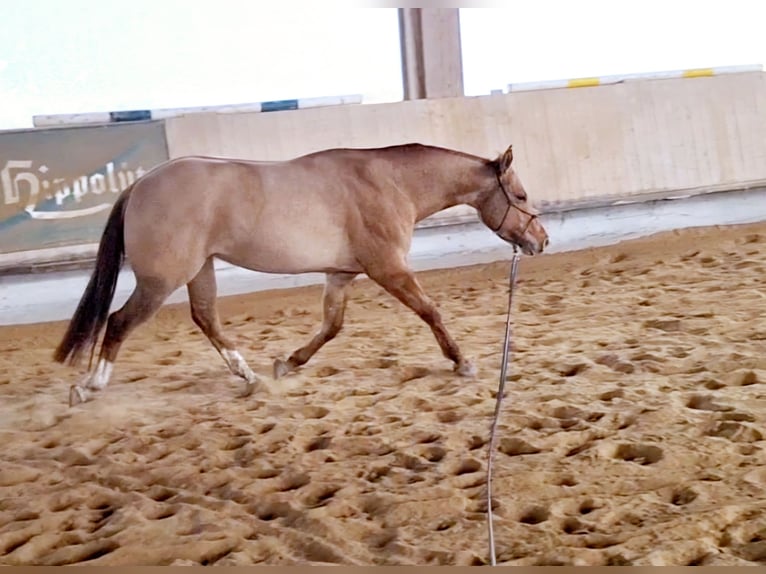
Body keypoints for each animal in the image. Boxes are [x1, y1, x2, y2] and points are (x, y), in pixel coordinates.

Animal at [54, 143, 549, 406]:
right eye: (522, 196)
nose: (541, 241)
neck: (390, 185)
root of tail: (140, 184)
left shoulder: (341, 274)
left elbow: (331, 326)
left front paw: (287, 362)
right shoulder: (388, 268)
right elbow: (430, 311)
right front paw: (461, 362)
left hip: (200, 269)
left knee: (206, 317)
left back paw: (249, 376)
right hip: (162, 279)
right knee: (119, 322)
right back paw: (90, 385)